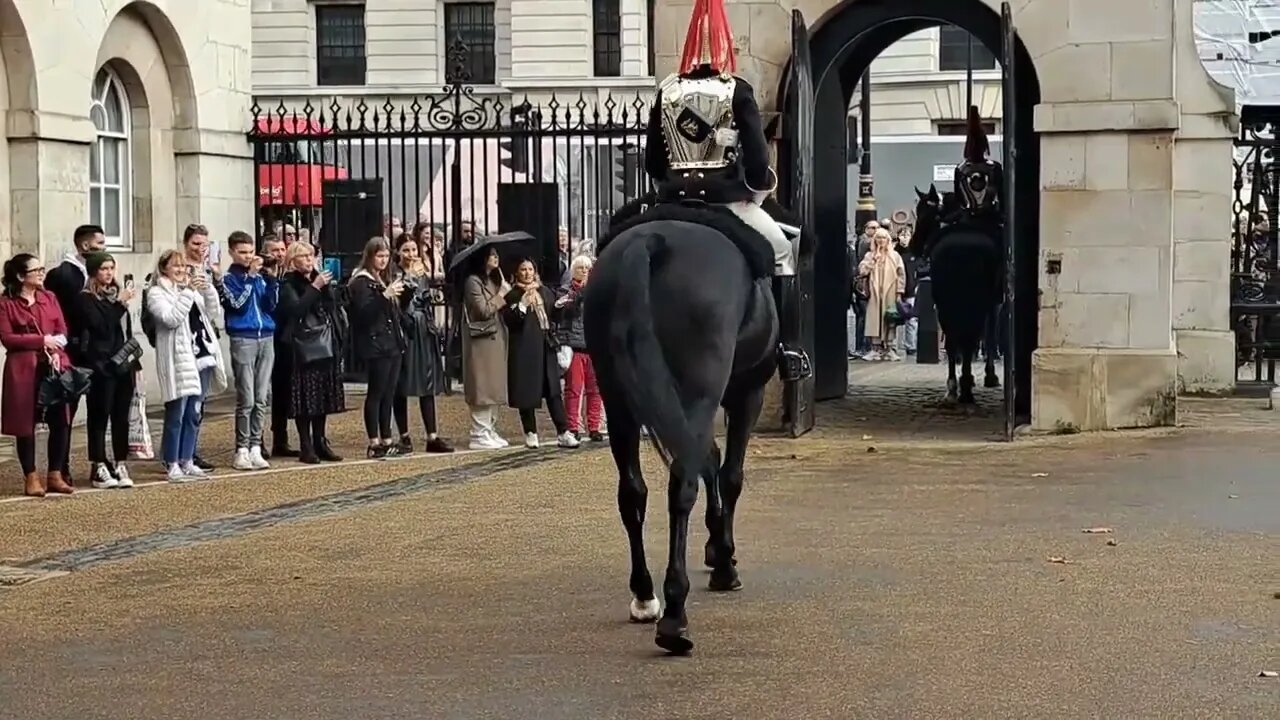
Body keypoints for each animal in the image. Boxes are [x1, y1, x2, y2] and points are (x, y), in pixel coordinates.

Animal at [583, 193, 788, 653]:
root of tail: (649, 243)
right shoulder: (746, 393)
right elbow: (730, 473)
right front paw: (724, 559)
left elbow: (709, 459)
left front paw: (716, 547)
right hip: (701, 390)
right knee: (682, 485)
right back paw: (675, 617)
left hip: (618, 402)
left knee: (633, 492)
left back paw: (645, 597)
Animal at [916, 181, 1003, 399]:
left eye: (926, 215)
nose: (914, 247)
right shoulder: (993, 304)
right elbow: (988, 336)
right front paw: (989, 375)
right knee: (969, 338)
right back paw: (964, 385)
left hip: (945, 302)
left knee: (953, 339)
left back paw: (954, 385)